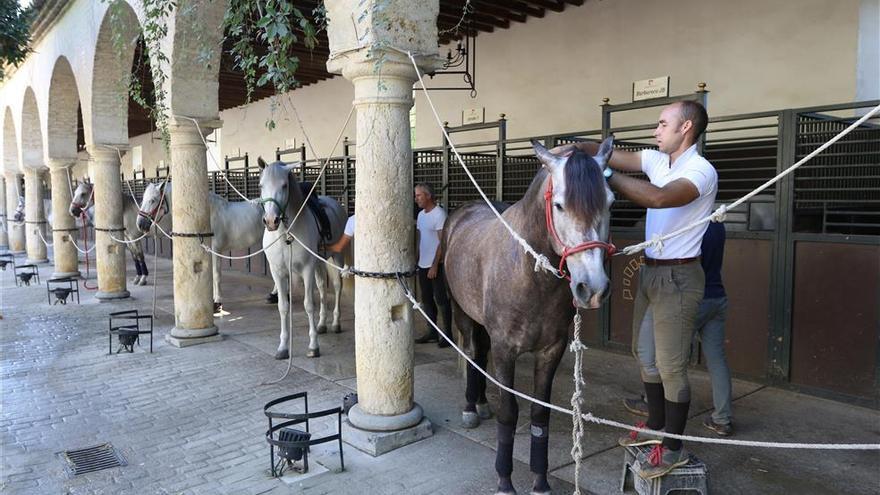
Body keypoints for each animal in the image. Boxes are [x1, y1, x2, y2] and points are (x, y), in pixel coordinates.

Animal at [136, 179, 266, 310]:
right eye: (143, 199)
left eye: (152, 200)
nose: (140, 224)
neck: (209, 215)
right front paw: (213, 300)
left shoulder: (216, 250)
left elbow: (216, 275)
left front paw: (217, 302)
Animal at [256, 159, 346, 360]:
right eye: (261, 185)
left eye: (284, 185)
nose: (271, 221)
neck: (285, 234)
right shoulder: (277, 272)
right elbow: (283, 306)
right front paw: (283, 347)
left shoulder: (307, 269)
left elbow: (309, 305)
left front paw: (313, 346)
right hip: (320, 262)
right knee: (322, 288)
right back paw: (322, 325)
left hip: (336, 258)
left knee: (337, 287)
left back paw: (336, 323)